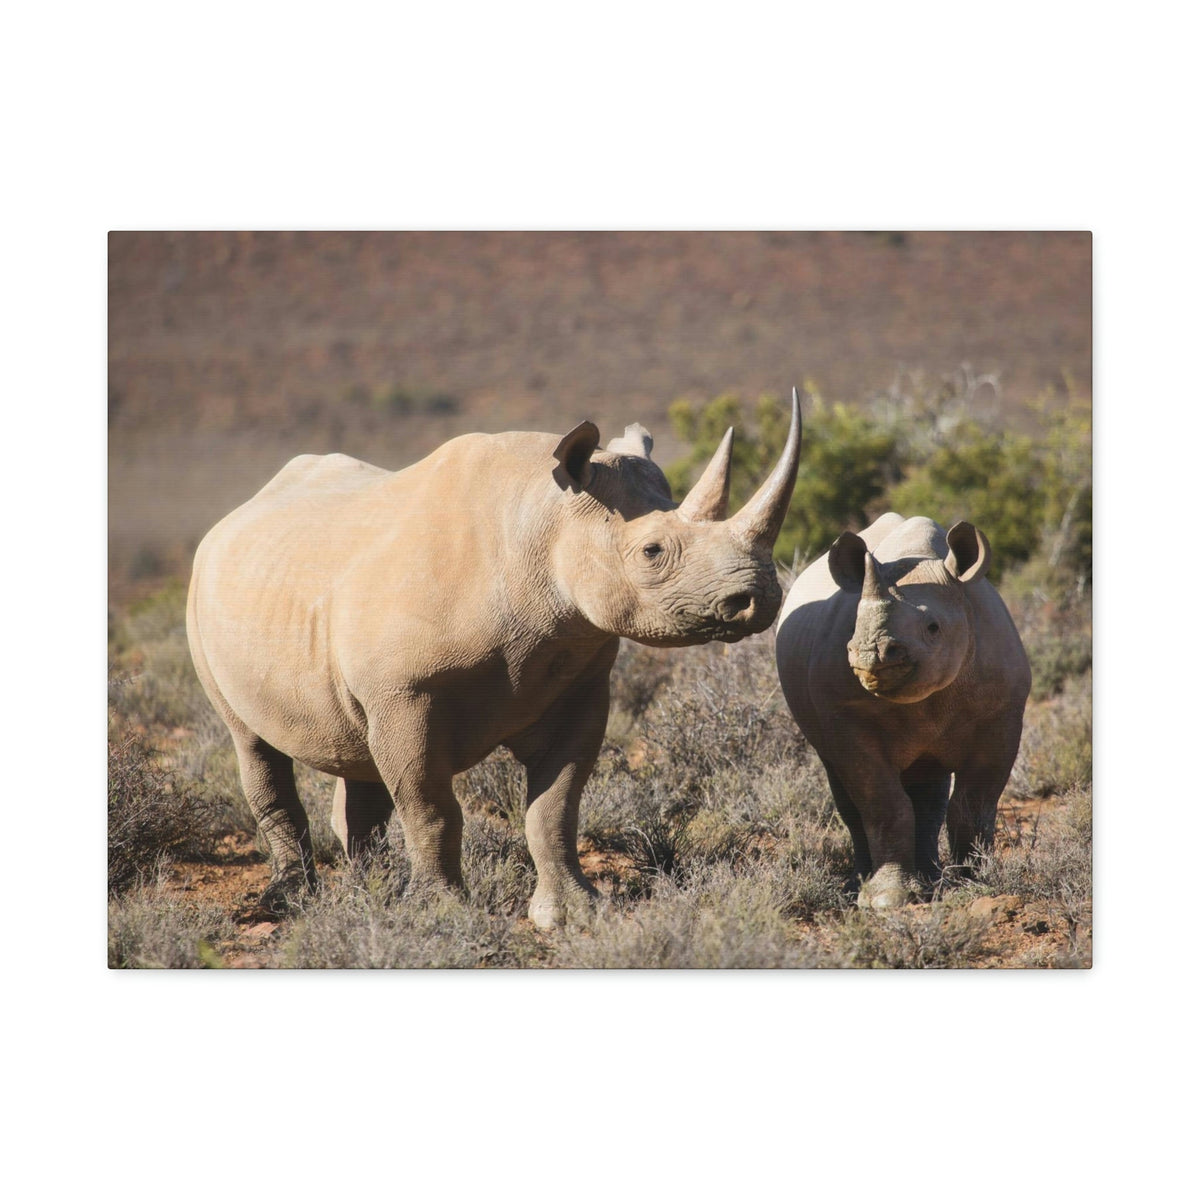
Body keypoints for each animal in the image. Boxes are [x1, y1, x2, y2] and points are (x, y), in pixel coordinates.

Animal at [187, 391, 801, 927]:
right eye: (652, 552)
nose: (760, 598)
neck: (544, 524)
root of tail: (236, 514)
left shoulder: (579, 681)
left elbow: (556, 805)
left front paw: (572, 913)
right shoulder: (405, 694)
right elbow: (431, 807)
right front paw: (440, 913)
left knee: (356, 753)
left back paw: (371, 890)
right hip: (204, 595)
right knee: (252, 742)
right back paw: (292, 900)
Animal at [774, 512, 1031, 907]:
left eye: (933, 627)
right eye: (854, 626)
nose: (870, 653)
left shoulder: (1001, 716)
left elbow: (974, 804)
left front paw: (975, 884)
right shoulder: (846, 719)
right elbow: (883, 803)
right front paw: (887, 900)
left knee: (929, 788)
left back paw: (932, 881)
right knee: (846, 788)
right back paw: (864, 886)